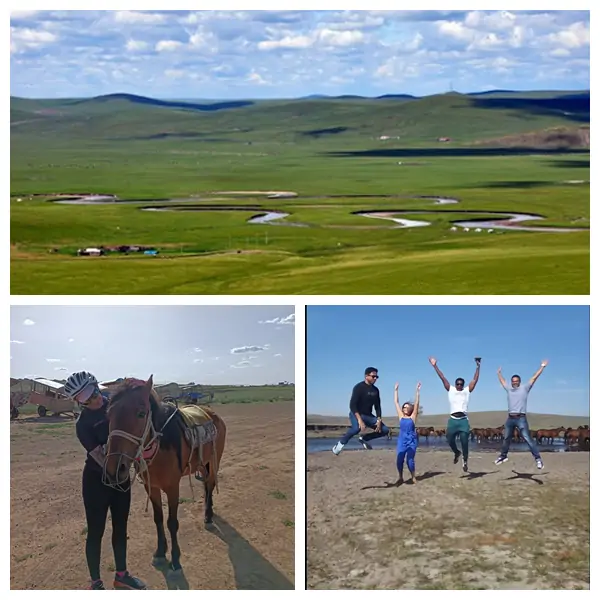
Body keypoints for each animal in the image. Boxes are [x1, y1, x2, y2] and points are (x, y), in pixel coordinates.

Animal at [102, 376, 226, 572]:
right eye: (109, 414)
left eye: (141, 413)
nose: (114, 469)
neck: (160, 446)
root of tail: (212, 414)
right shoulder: (151, 487)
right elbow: (158, 518)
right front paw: (161, 551)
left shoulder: (172, 488)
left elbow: (172, 522)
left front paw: (175, 558)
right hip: (203, 464)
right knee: (206, 486)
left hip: (213, 463)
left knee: (211, 484)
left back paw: (208, 515)